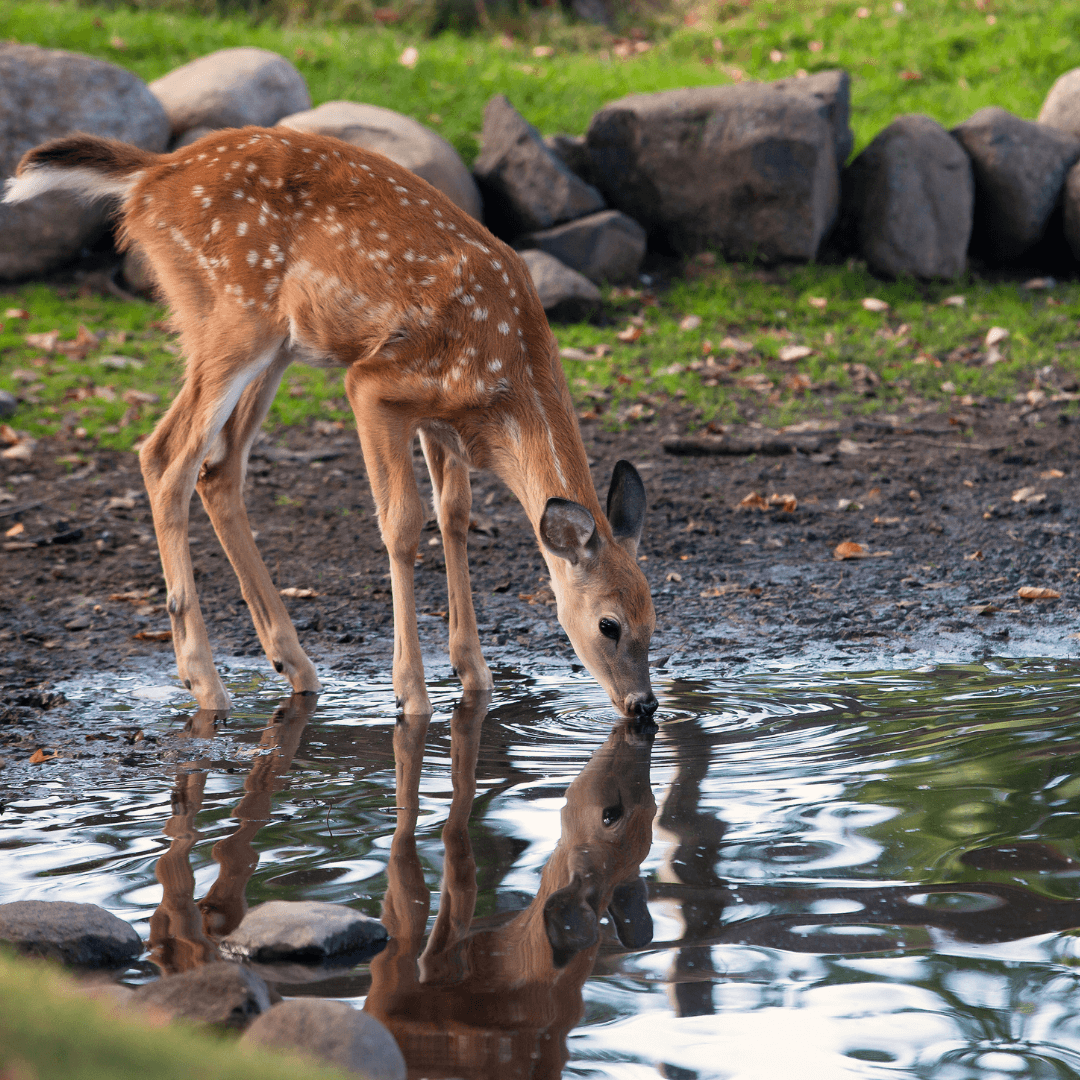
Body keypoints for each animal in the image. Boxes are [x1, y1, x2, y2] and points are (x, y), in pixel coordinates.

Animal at [4, 127, 658, 720]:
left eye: (654, 616)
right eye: (609, 625)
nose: (643, 705)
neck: (507, 384)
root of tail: (151, 174)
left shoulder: (441, 423)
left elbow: (455, 516)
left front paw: (474, 678)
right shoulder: (376, 384)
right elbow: (403, 522)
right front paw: (411, 694)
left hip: (274, 346)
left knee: (220, 469)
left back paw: (292, 664)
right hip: (233, 313)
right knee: (166, 456)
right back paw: (205, 683)